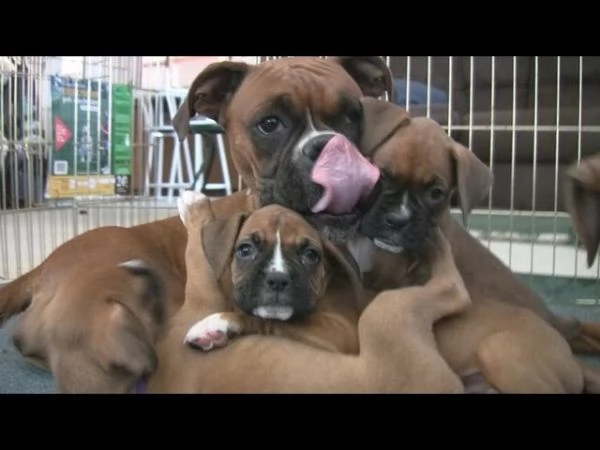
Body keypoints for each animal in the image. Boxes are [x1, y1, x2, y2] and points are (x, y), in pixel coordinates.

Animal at [176, 192, 360, 356]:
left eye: (310, 255)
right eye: (245, 250)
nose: (278, 279)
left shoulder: (340, 331)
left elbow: (266, 320)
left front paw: (219, 323)